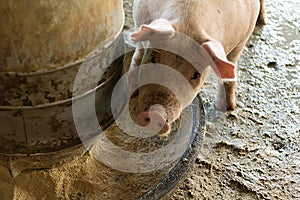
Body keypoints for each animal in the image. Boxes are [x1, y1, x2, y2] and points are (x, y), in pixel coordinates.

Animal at [130, 0, 266, 136]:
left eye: (195, 75)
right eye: (153, 59)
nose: (156, 113)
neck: (189, 23)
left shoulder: (241, 41)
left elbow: (229, 74)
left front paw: (228, 107)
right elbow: (137, 57)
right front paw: (130, 89)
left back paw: (263, 21)